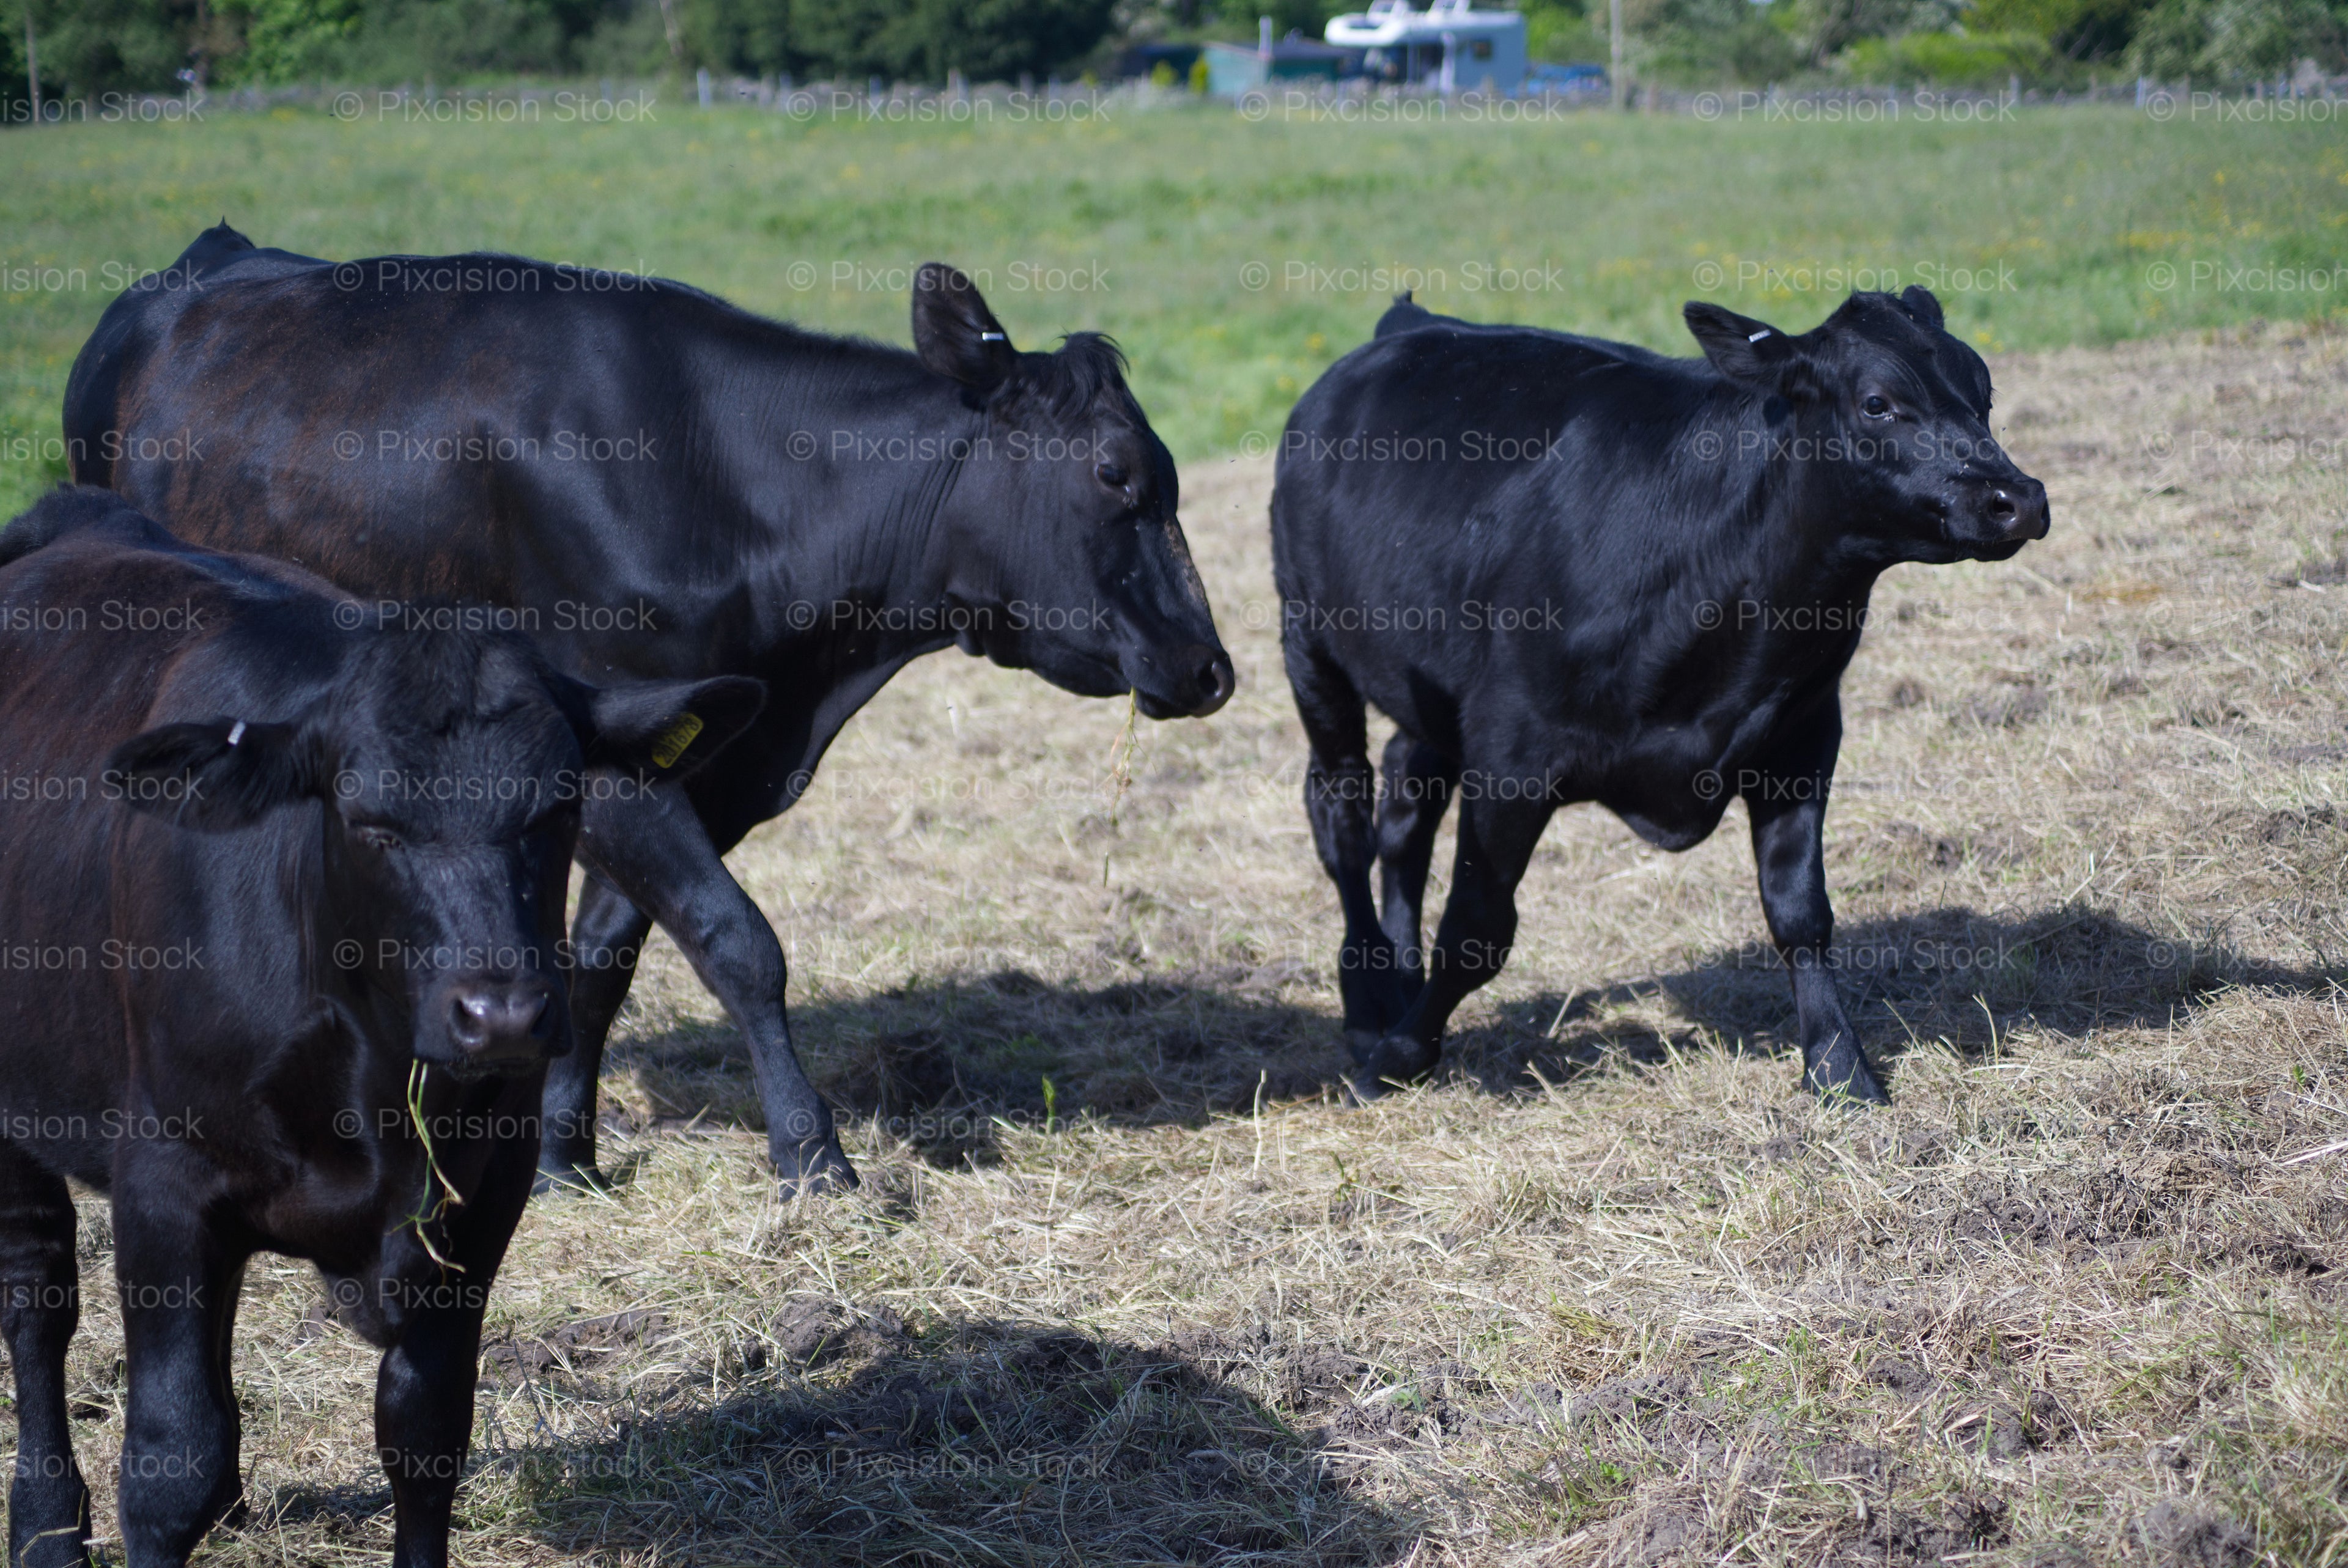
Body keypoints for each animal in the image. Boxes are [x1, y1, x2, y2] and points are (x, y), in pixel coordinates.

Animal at [0, 487, 760, 1568]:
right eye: (367, 820)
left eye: (562, 803)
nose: (503, 1015)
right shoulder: (163, 1181)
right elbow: (168, 1457)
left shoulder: (484, 1195)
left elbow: (425, 1433)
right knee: (37, 1300)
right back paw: (45, 1526)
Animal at [63, 224, 1234, 1197]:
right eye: (1118, 475)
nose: (1211, 666)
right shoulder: (615, 766)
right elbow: (738, 942)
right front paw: (814, 1160)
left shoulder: (686, 762)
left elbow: (597, 965)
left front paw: (559, 1157)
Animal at [1271, 287, 2048, 1105]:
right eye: (1878, 403)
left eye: (1984, 392)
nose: (2018, 499)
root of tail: (1410, 323)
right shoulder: (1511, 753)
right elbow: (1479, 929)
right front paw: (1400, 1056)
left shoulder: (1802, 734)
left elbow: (1800, 910)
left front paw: (1840, 1068)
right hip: (1309, 644)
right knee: (1343, 814)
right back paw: (1369, 1007)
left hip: (1428, 686)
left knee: (1406, 805)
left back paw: (1398, 971)